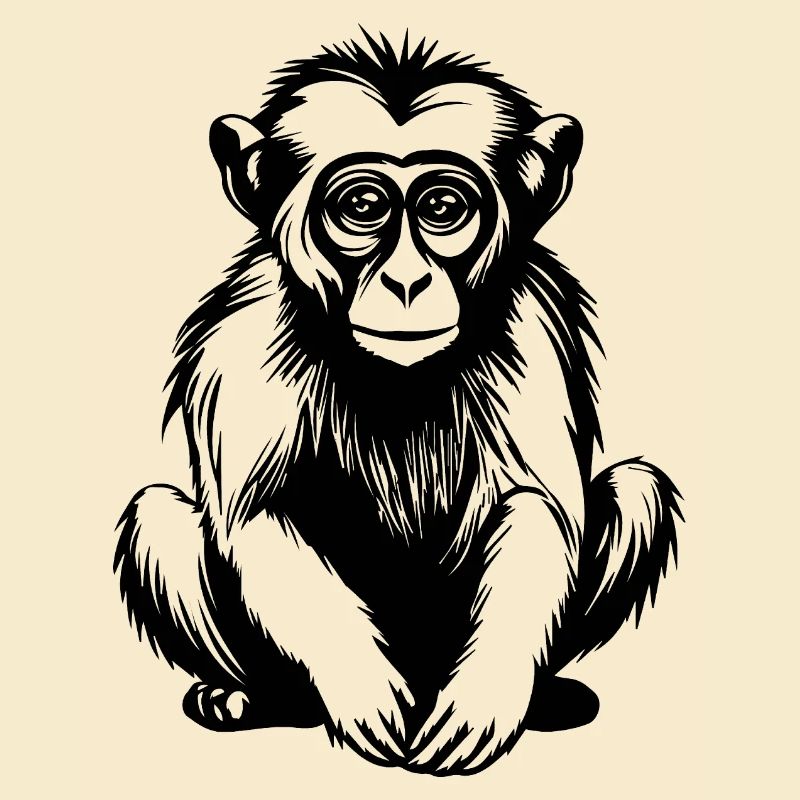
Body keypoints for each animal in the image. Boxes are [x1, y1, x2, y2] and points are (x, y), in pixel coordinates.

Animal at [114, 33, 682, 776]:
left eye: (442, 209)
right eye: (363, 206)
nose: (407, 280)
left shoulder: (532, 317)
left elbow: (539, 506)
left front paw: (486, 695)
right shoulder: (245, 332)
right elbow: (258, 512)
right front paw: (361, 685)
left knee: (637, 489)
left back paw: (549, 695)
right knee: (159, 519)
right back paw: (248, 696)